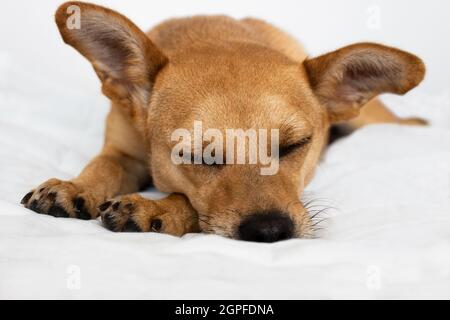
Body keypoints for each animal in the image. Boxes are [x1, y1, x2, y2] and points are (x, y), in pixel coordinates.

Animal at [20, 1, 426, 242]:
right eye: (199, 156)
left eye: (294, 146)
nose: (270, 231)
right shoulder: (123, 151)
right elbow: (104, 165)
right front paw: (75, 187)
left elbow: (188, 203)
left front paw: (156, 208)